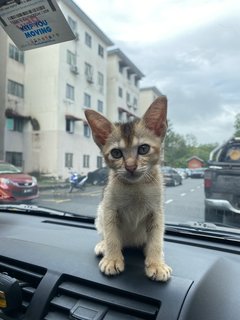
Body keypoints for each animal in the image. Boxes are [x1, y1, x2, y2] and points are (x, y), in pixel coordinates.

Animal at [85, 96, 172, 282]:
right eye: (116, 153)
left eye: (144, 149)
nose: (131, 167)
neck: (136, 187)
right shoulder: (109, 208)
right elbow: (111, 236)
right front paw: (112, 259)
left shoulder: (157, 211)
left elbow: (156, 238)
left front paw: (156, 264)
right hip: (100, 212)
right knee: (106, 234)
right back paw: (103, 245)